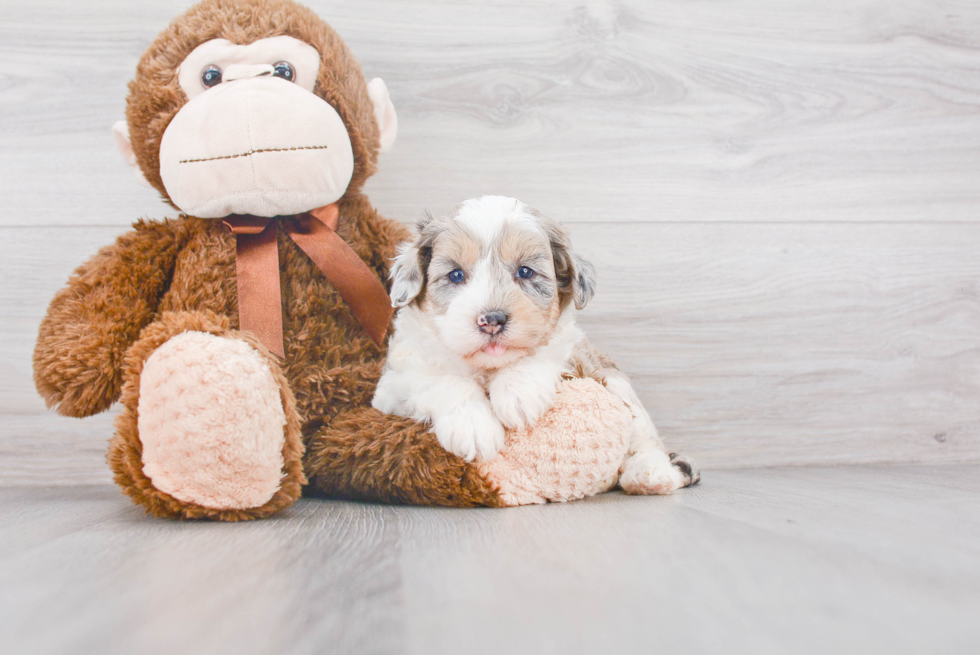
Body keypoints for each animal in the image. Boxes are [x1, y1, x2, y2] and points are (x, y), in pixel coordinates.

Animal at [372, 197, 700, 494]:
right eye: (455, 275)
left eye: (525, 272)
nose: (492, 320)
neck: (488, 368)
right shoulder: (392, 385)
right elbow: (442, 382)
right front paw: (473, 425)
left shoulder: (574, 350)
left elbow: (543, 353)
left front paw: (517, 392)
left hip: (614, 380)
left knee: (645, 435)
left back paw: (651, 474)